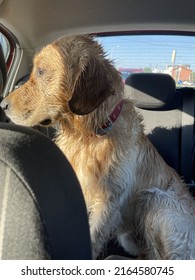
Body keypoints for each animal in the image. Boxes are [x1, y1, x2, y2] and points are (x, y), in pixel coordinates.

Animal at [1, 35, 195, 260]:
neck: (89, 135)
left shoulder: (108, 202)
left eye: (41, 71)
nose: (2, 105)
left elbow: (93, 240)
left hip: (154, 198)